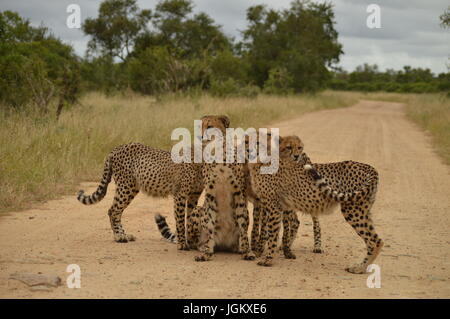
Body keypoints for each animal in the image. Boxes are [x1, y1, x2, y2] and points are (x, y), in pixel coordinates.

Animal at [250, 136, 384, 276]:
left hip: (353, 210)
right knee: (374, 239)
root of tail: (368, 167)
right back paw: (361, 266)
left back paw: (359, 268)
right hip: (363, 209)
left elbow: (271, 233)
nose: (253, 151)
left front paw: (268, 260)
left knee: (375, 241)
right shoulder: (274, 205)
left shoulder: (274, 207)